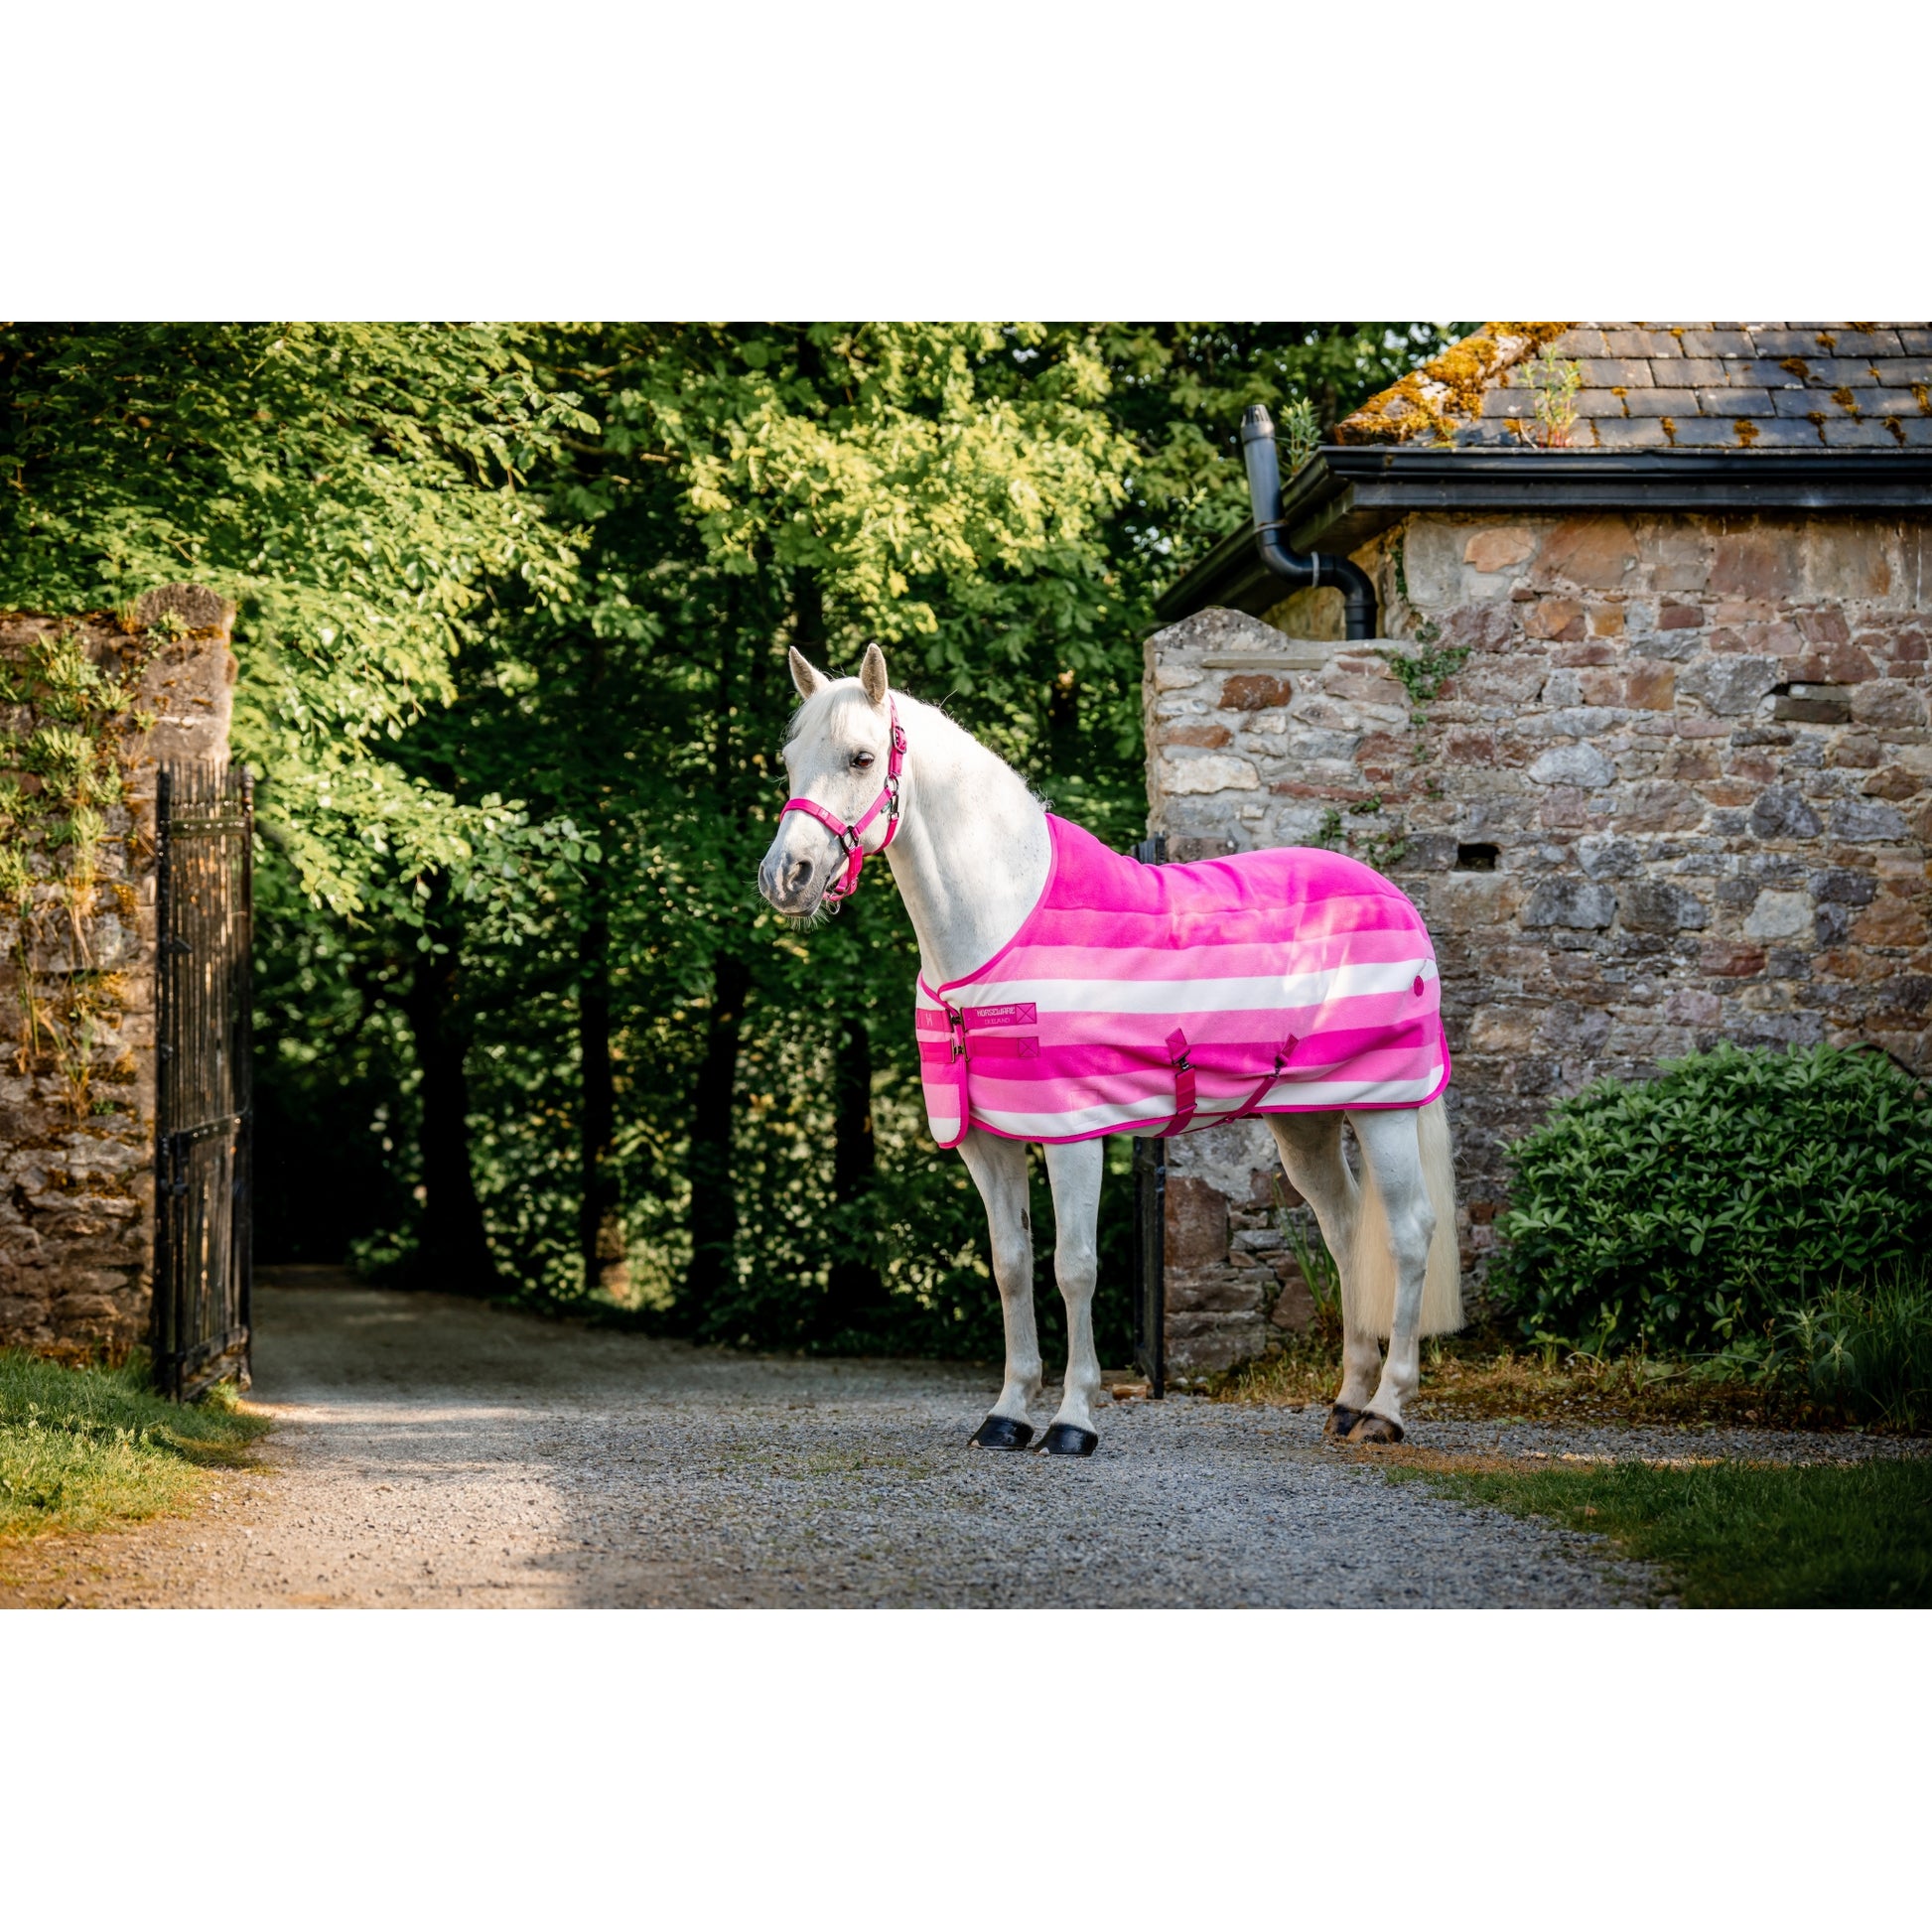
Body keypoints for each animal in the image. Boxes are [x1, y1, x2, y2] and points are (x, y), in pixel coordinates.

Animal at [758, 642, 1462, 1456]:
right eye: (789, 759)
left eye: (862, 757)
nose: (785, 877)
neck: (998, 925)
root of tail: (1395, 898)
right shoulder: (989, 1142)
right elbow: (1010, 1266)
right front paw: (1006, 1414)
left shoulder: (1074, 1135)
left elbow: (1075, 1269)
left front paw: (1073, 1421)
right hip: (1306, 1120)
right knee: (1345, 1229)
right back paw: (1347, 1400)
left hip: (1384, 1108)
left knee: (1407, 1235)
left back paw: (1386, 1409)